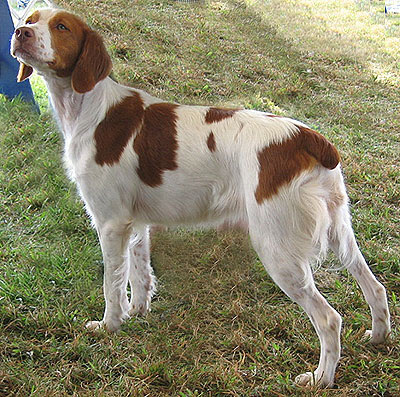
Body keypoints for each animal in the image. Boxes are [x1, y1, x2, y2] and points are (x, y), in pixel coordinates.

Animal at [10, 8, 390, 386]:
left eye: (61, 27)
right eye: (29, 18)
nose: (20, 33)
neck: (88, 107)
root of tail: (308, 138)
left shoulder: (110, 222)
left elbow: (113, 283)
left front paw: (109, 326)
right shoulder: (134, 222)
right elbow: (140, 273)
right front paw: (138, 313)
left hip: (277, 246)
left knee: (329, 318)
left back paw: (321, 378)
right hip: (339, 231)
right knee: (375, 287)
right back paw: (378, 338)